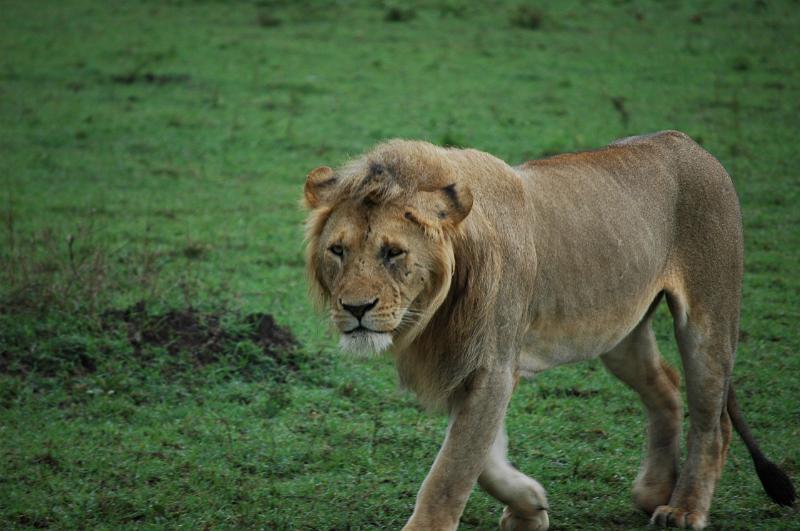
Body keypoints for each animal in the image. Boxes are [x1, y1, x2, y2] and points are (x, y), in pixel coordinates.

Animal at [302, 130, 795, 530]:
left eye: (393, 252)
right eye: (338, 250)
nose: (356, 308)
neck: (431, 309)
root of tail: (691, 145)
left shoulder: (493, 365)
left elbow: (452, 469)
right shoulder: (472, 367)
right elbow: (481, 455)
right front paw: (529, 506)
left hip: (708, 321)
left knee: (712, 422)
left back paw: (684, 509)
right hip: (618, 332)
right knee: (666, 387)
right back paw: (655, 489)